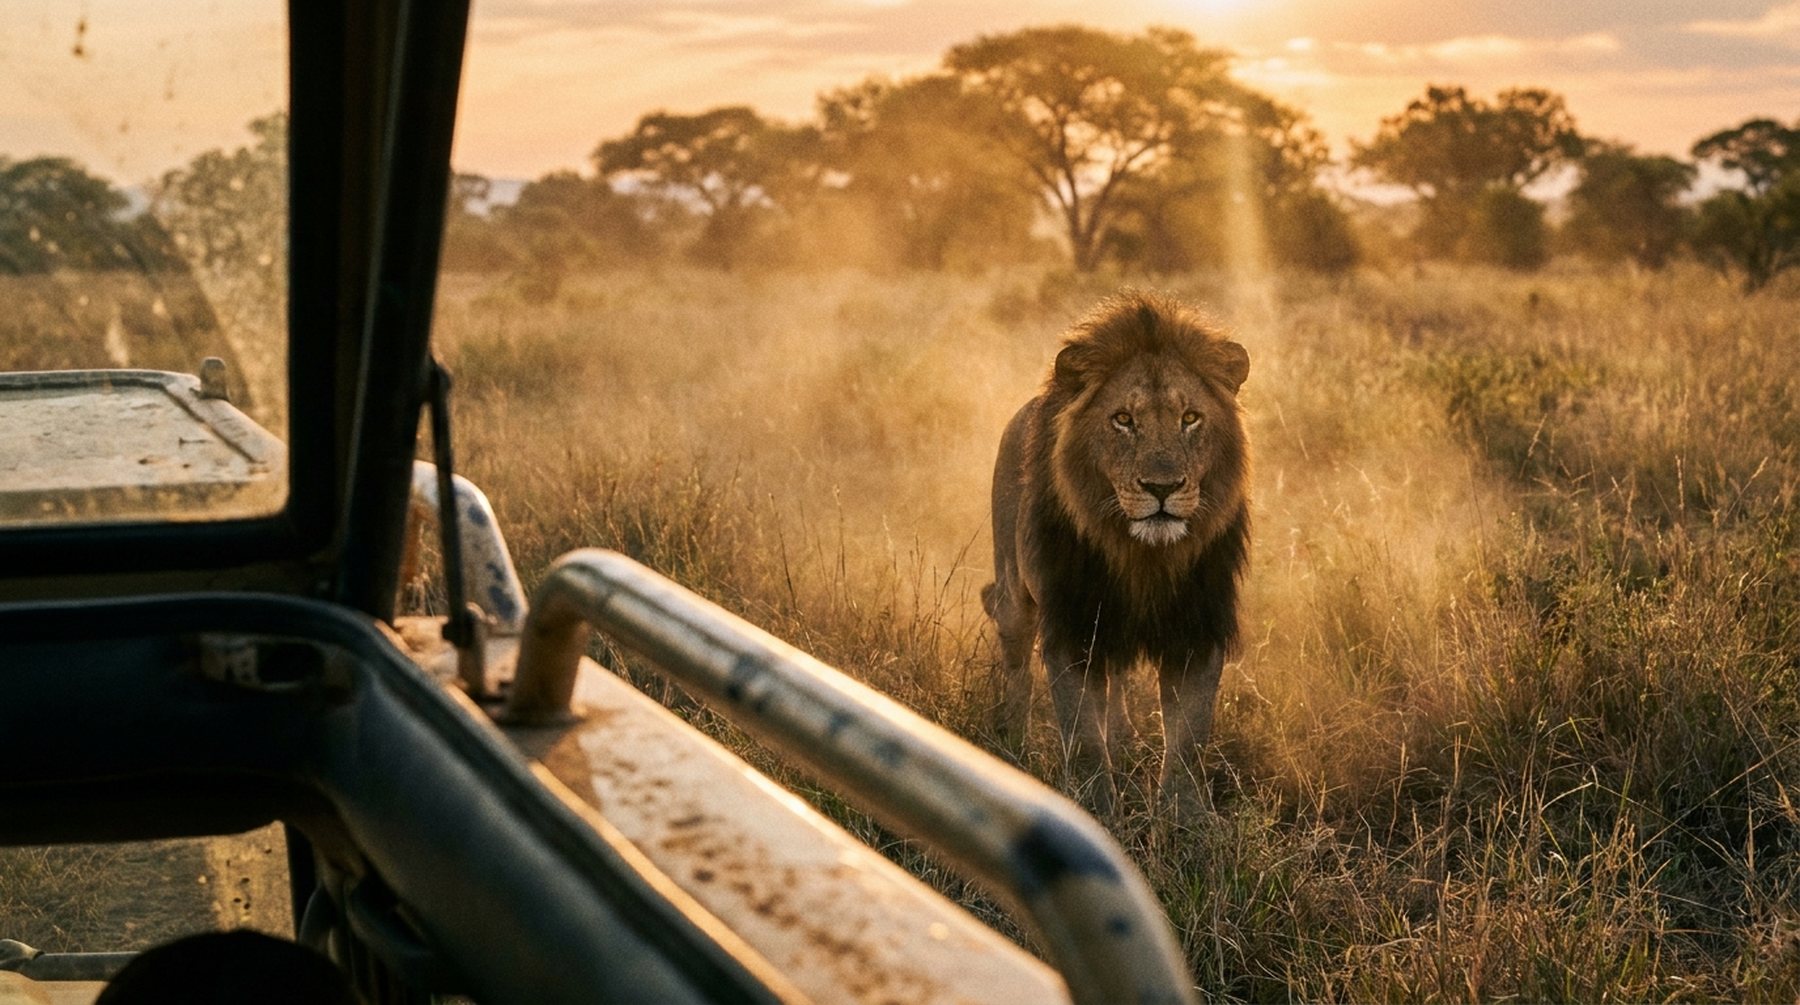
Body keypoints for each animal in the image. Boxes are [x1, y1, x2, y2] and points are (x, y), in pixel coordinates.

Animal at [983, 291, 1250, 815]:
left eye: (1190, 418)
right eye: (1123, 420)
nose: (1162, 487)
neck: (1142, 556)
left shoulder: (1197, 630)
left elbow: (1188, 741)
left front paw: (1187, 823)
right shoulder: (1072, 627)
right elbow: (1083, 736)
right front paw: (1096, 810)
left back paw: (1124, 741)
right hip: (1015, 592)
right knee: (1017, 662)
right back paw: (1014, 742)